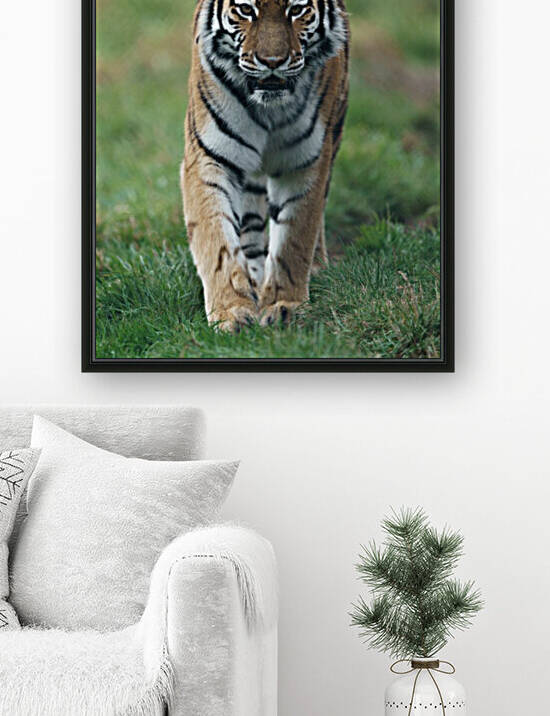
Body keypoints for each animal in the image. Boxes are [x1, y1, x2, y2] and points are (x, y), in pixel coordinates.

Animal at [182, 0, 349, 331]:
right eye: (246, 10)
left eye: (296, 10)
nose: (272, 62)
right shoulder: (208, 157)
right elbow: (217, 240)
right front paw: (231, 311)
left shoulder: (306, 161)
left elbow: (295, 238)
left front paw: (285, 306)